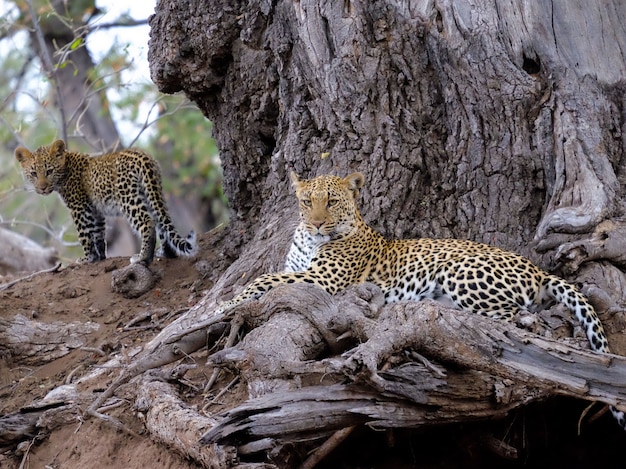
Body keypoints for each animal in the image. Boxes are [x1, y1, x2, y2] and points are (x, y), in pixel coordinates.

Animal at [15, 138, 195, 264]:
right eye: (34, 174)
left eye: (49, 171)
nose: (42, 188)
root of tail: (143, 157)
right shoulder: (95, 209)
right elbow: (98, 234)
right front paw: (100, 257)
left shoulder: (79, 208)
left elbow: (84, 235)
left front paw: (87, 258)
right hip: (152, 193)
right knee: (161, 221)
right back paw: (166, 253)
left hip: (128, 198)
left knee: (147, 222)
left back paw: (142, 257)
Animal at [217, 171, 620, 428]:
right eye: (306, 201)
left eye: (330, 202)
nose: (316, 224)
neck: (309, 238)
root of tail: (536, 269)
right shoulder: (303, 270)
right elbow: (269, 275)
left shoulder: (323, 279)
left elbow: (262, 278)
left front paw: (226, 305)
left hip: (459, 271)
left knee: (518, 319)